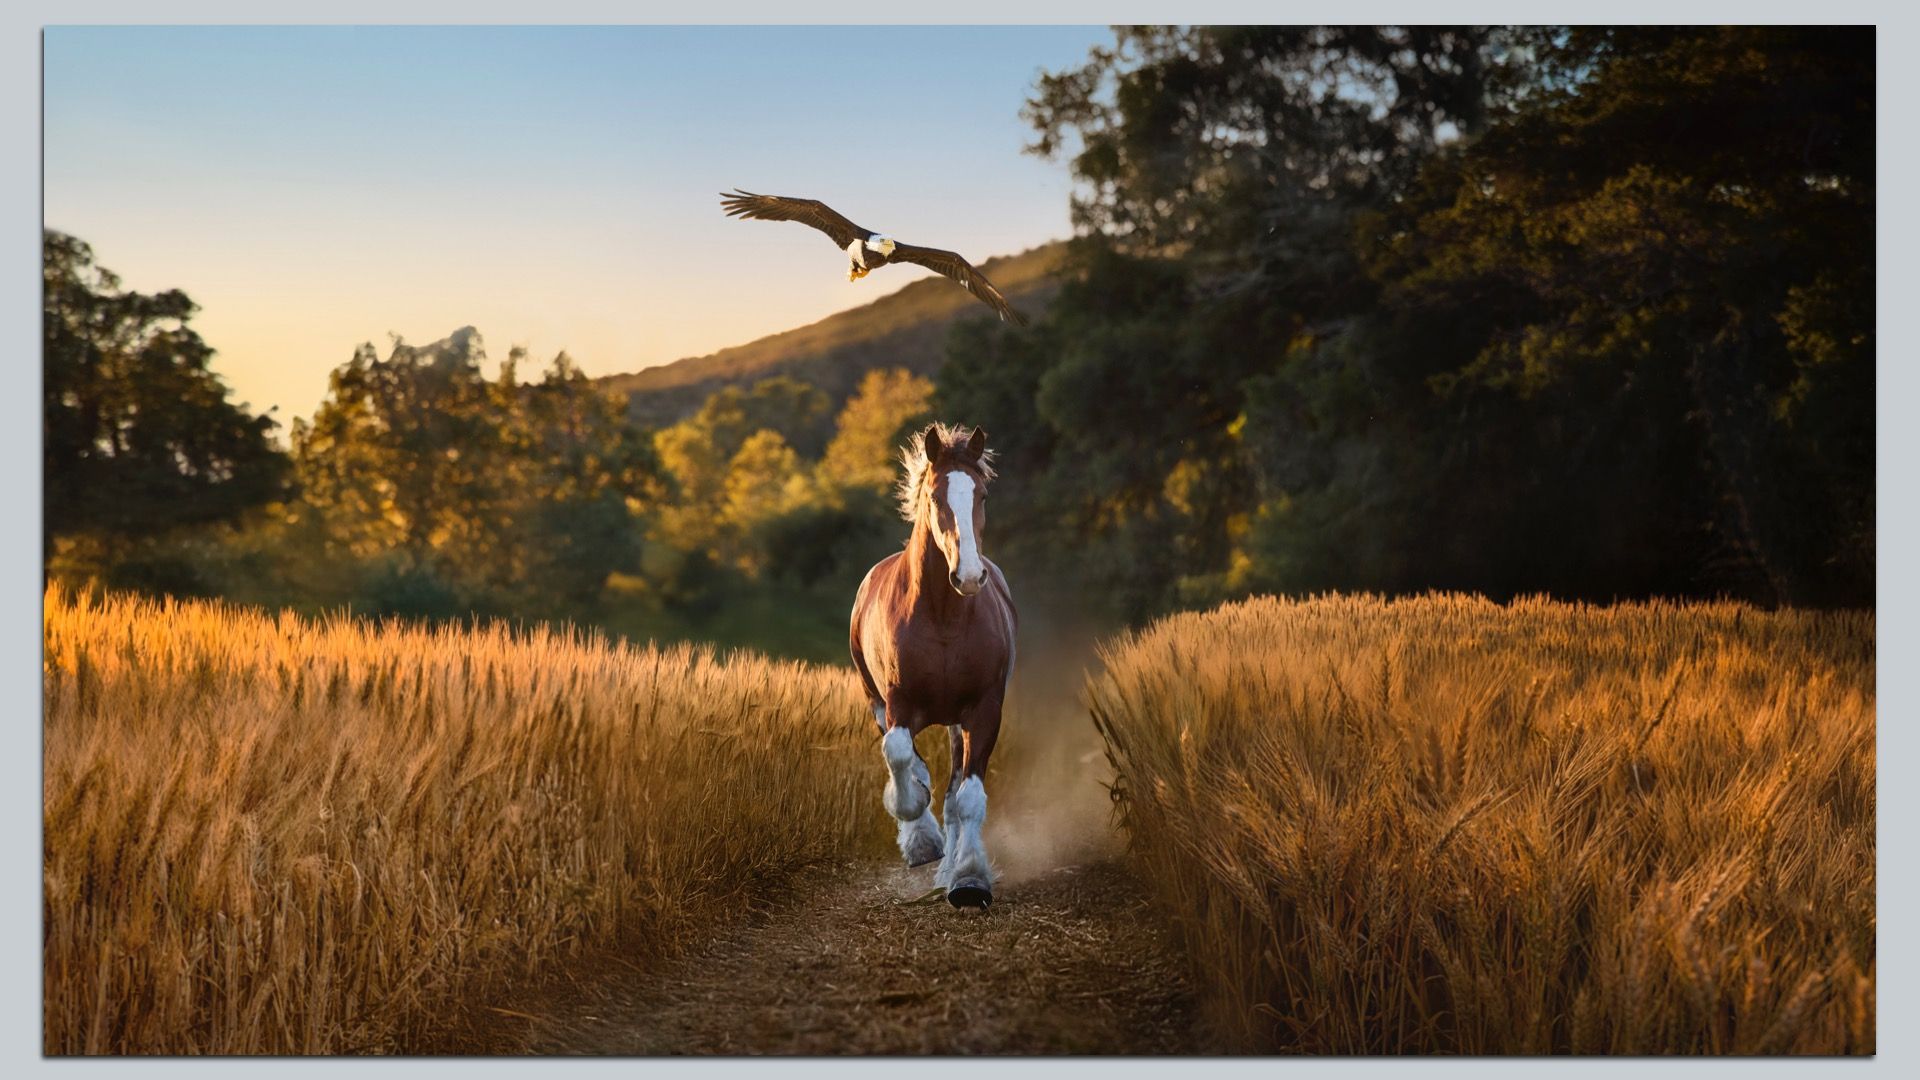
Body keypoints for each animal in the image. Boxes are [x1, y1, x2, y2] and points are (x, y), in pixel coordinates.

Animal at [849, 422, 1017, 909]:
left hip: (957, 723)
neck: (943, 615)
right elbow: (899, 755)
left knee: (955, 789)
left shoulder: (984, 710)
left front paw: (969, 879)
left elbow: (967, 797)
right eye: (935, 496)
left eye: (981, 494)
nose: (969, 576)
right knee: (909, 759)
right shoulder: (898, 705)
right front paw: (920, 836)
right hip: (876, 702)